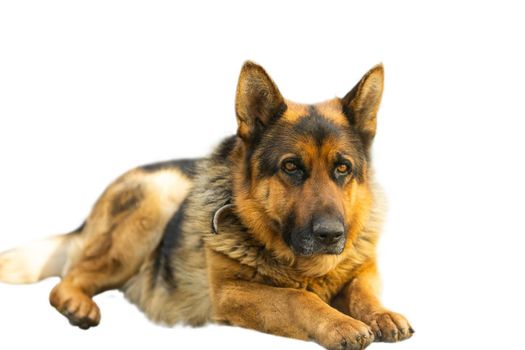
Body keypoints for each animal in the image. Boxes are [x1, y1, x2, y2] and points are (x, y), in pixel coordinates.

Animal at [0, 61, 414, 348]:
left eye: (342, 168)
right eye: (291, 167)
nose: (331, 235)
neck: (305, 266)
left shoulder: (363, 269)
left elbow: (360, 289)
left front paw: (381, 314)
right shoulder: (231, 293)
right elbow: (299, 298)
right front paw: (340, 323)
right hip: (157, 198)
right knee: (67, 279)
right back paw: (77, 305)